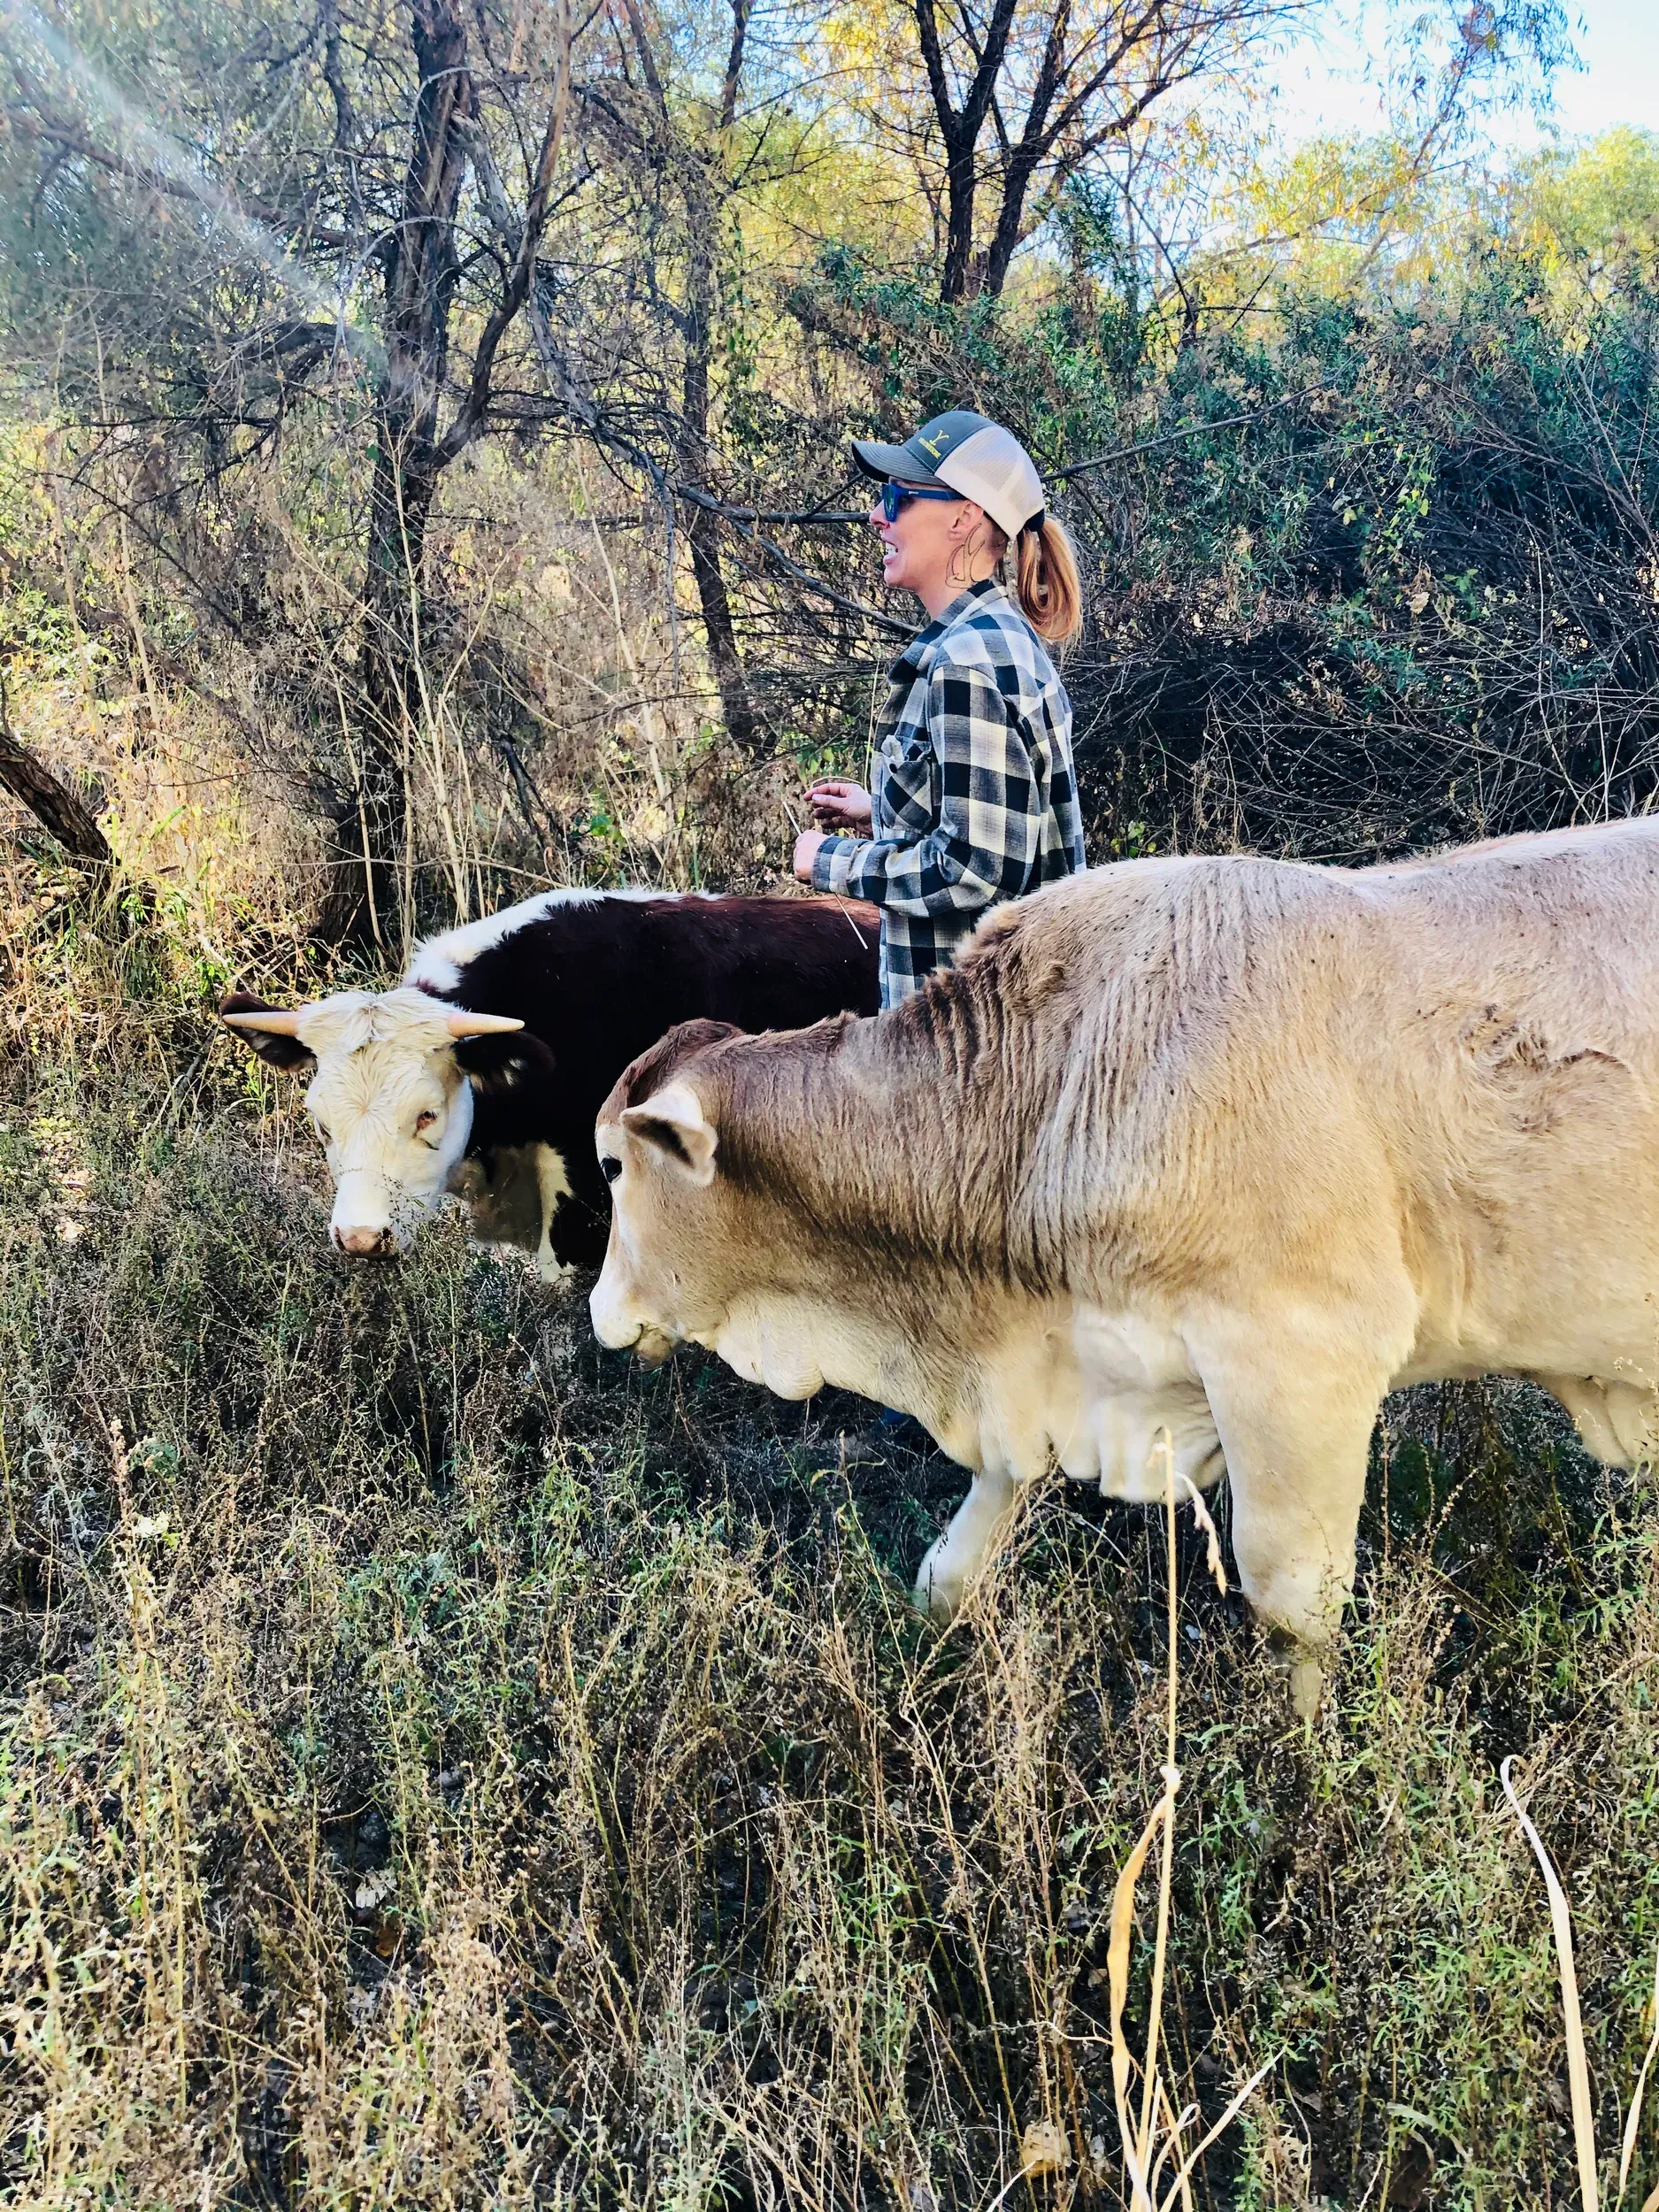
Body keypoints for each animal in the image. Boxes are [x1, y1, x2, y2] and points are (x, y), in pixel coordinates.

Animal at [590, 820, 1659, 1711]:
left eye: (610, 1164)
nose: (598, 1307)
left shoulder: (1302, 1363)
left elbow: (1293, 1606)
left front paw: (1306, 1774)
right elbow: (961, 1549)